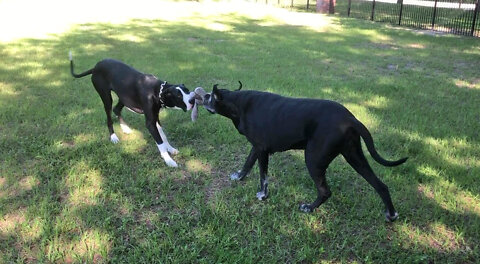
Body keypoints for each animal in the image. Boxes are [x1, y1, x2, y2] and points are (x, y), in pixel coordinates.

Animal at [202, 83, 404, 222]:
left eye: (210, 96)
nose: (203, 95)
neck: (238, 103)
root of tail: (350, 119)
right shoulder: (256, 149)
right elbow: (247, 164)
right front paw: (239, 177)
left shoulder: (262, 150)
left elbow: (263, 177)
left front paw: (263, 196)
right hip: (355, 157)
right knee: (380, 185)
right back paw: (391, 214)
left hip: (313, 160)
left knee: (325, 191)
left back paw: (309, 208)